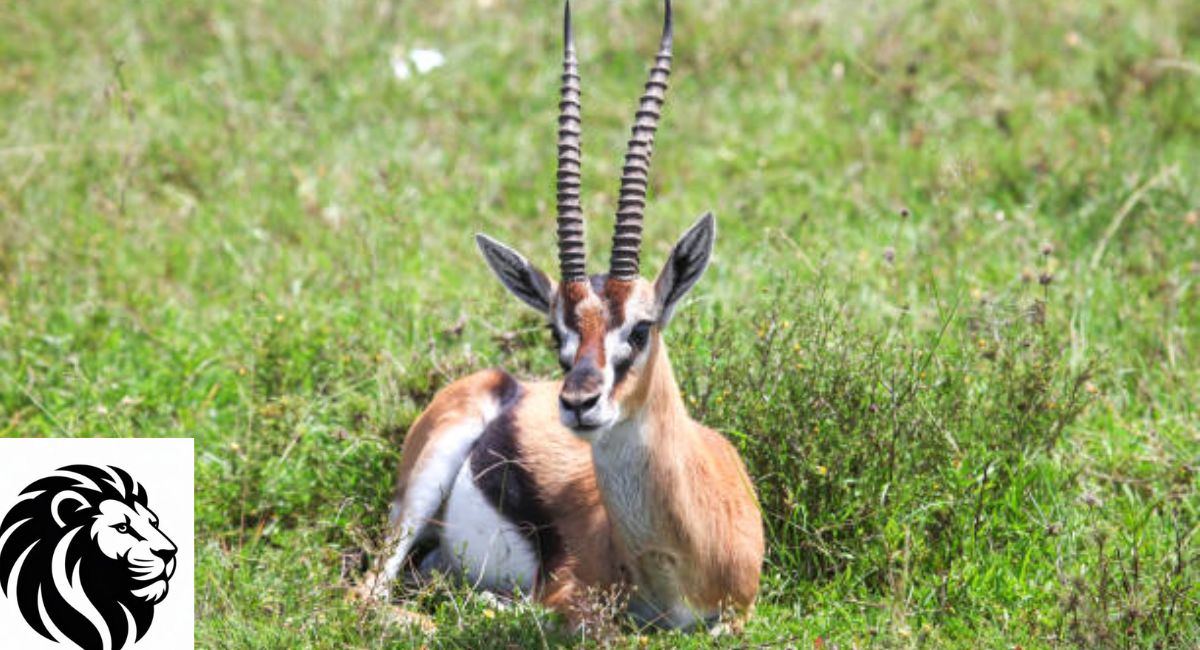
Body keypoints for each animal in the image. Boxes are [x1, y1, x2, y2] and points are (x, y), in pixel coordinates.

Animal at [375, 0, 763, 630]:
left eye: (641, 327)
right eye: (557, 329)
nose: (580, 403)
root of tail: (506, 381)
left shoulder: (739, 615)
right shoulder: (566, 601)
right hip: (417, 496)